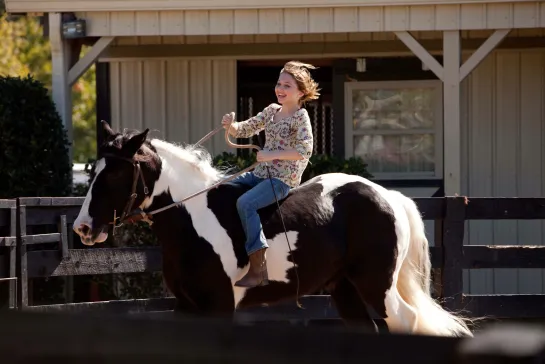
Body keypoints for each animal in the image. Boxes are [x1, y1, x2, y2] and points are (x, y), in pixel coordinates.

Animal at [72, 122, 472, 338]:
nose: (83, 228)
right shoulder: (187, 307)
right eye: (94, 171)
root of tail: (388, 197)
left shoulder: (219, 307)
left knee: (407, 320)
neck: (195, 222)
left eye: (116, 174)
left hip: (377, 285)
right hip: (345, 289)